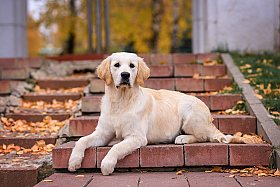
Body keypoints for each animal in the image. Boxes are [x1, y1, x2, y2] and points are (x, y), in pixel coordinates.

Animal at [68, 51, 247, 175]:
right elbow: (81, 140)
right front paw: (73, 161)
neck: (121, 102)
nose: (125, 75)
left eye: (132, 65)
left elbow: (117, 147)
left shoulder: (137, 137)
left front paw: (107, 164)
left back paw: (182, 138)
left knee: (204, 137)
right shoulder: (103, 133)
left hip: (189, 112)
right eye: (117, 65)